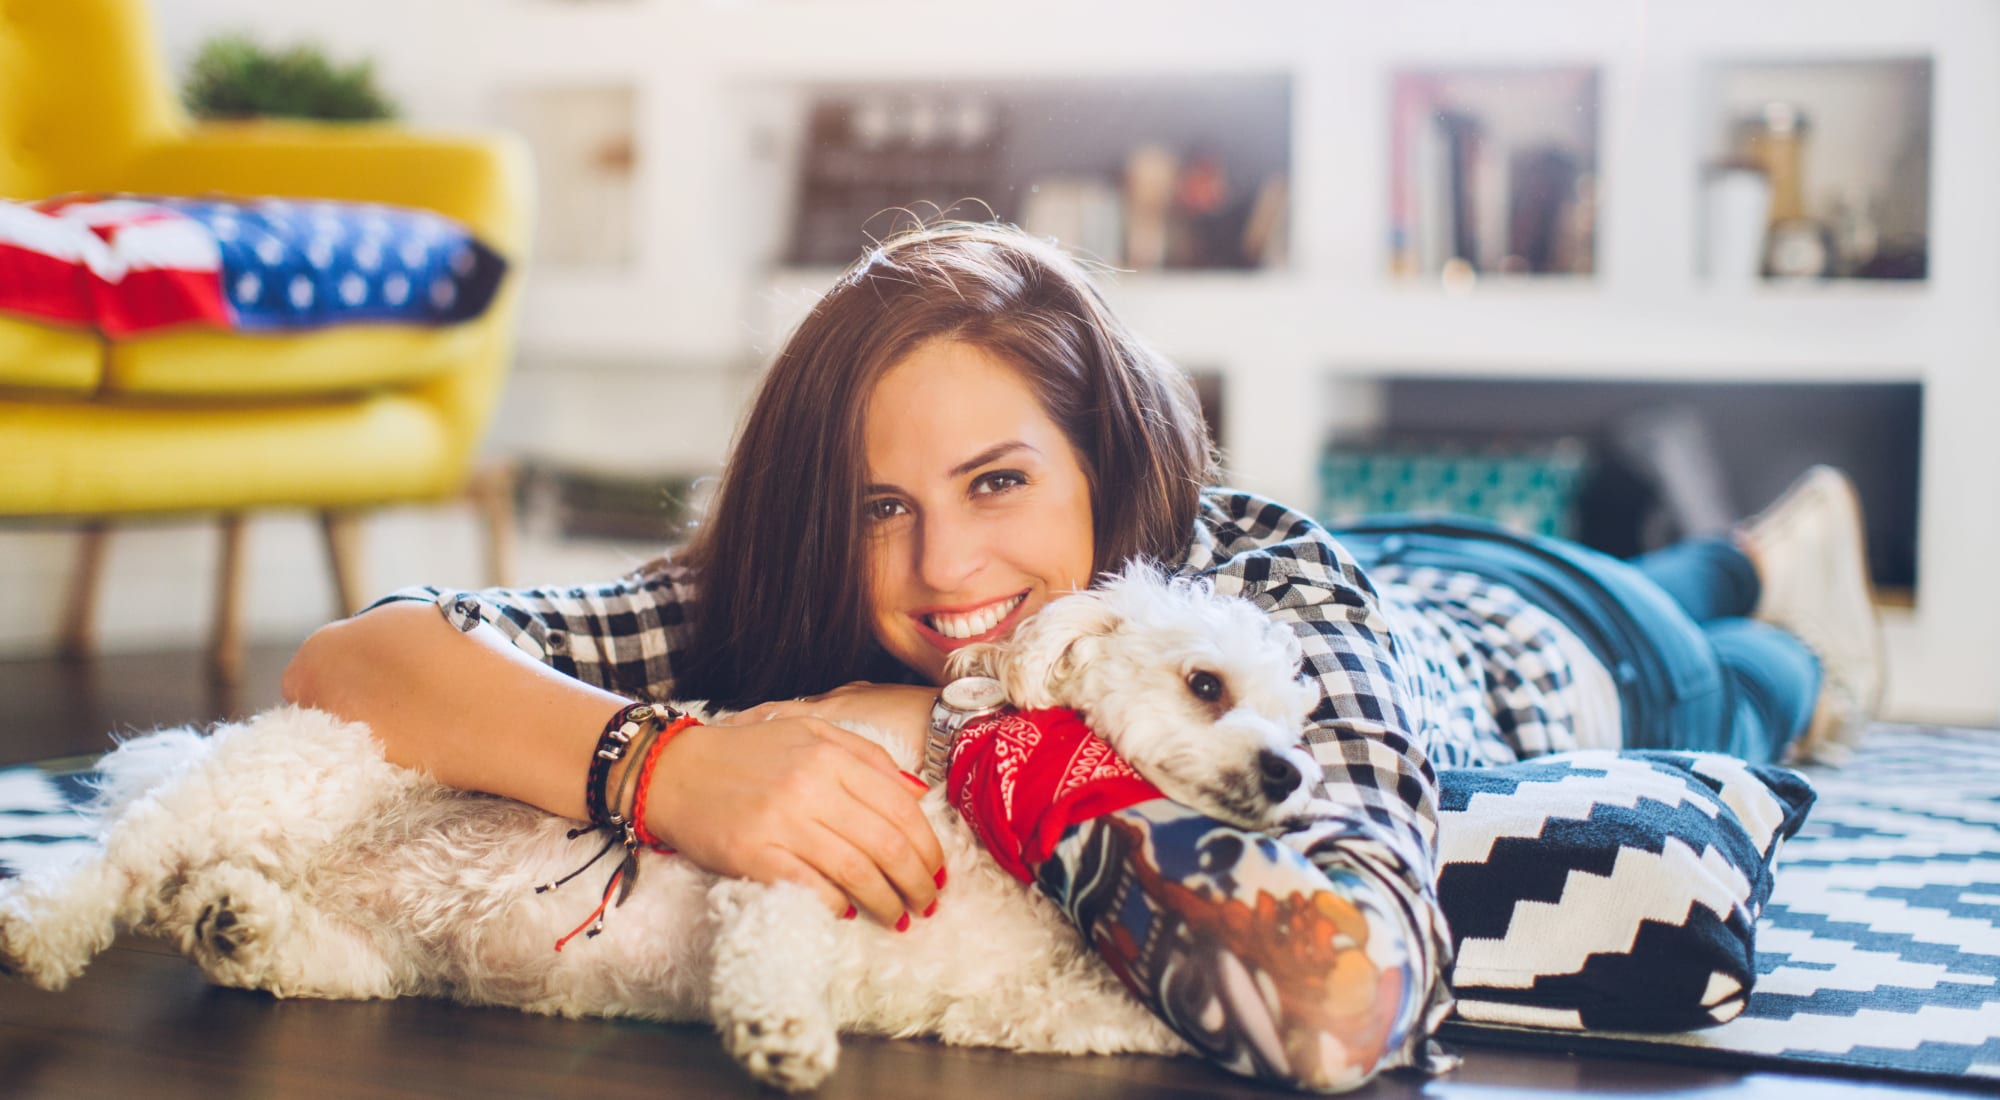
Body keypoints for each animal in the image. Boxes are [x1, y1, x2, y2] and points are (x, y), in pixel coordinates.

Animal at [3, 568, 1328, 1096]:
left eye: (1296, 713)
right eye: (1205, 683)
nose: (1290, 769)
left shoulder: (1026, 1002)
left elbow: (1118, 1019)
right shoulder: (806, 841)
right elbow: (775, 936)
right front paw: (780, 1030)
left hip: (370, 952)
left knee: (273, 934)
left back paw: (234, 920)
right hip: (298, 774)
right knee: (131, 844)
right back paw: (53, 919)